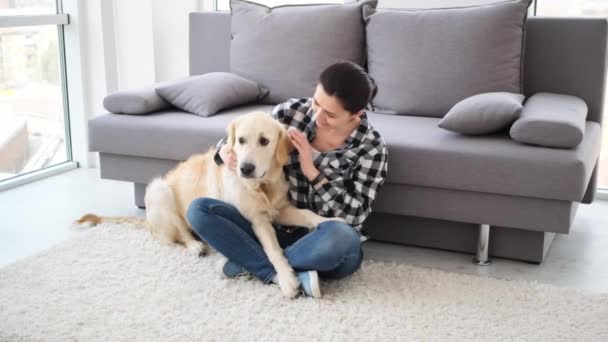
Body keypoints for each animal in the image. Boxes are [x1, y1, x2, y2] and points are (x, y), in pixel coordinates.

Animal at [74, 111, 342, 296]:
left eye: (264, 141)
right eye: (241, 140)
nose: (245, 168)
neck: (262, 186)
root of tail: (148, 221)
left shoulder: (280, 209)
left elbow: (307, 214)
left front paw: (333, 220)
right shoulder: (258, 219)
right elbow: (273, 250)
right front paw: (287, 279)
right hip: (160, 190)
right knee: (178, 234)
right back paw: (195, 246)